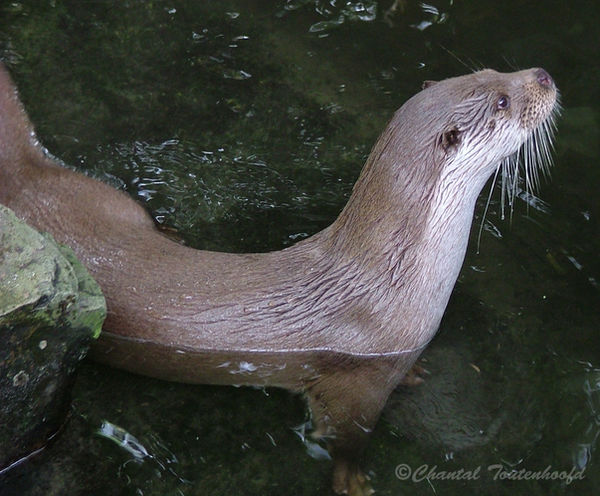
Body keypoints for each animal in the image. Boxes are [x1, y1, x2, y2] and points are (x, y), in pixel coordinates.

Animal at [0, 63, 556, 496]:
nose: (544, 75)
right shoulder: (357, 383)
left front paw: (415, 374)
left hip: (108, 200)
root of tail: (25, 176)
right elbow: (345, 435)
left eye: (491, 70)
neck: (391, 281)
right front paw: (352, 479)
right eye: (503, 100)